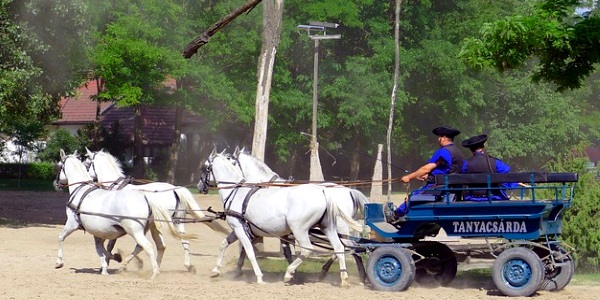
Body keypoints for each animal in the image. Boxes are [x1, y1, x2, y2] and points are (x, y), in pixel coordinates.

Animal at [54, 150, 190, 278]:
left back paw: (153, 271)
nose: (56, 184)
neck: (81, 190)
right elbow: (102, 248)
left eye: (59, 166)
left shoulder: (73, 224)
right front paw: (108, 264)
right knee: (166, 244)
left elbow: (61, 237)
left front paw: (59, 262)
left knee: (148, 246)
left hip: (138, 229)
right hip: (169, 224)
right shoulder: (99, 230)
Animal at [85, 148, 231, 272]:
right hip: (177, 221)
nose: (87, 181)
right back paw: (187, 266)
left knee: (157, 245)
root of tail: (175, 189)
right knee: (183, 241)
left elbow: (109, 244)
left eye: (86, 164)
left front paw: (108, 262)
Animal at [199, 151, 364, 284]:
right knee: (339, 248)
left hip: (302, 229)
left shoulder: (241, 228)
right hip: (327, 227)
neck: (237, 192)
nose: (200, 186)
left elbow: (250, 252)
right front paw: (217, 270)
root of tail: (325, 192)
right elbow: (224, 245)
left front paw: (259, 277)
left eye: (205, 167)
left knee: (313, 250)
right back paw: (344, 278)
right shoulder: (245, 230)